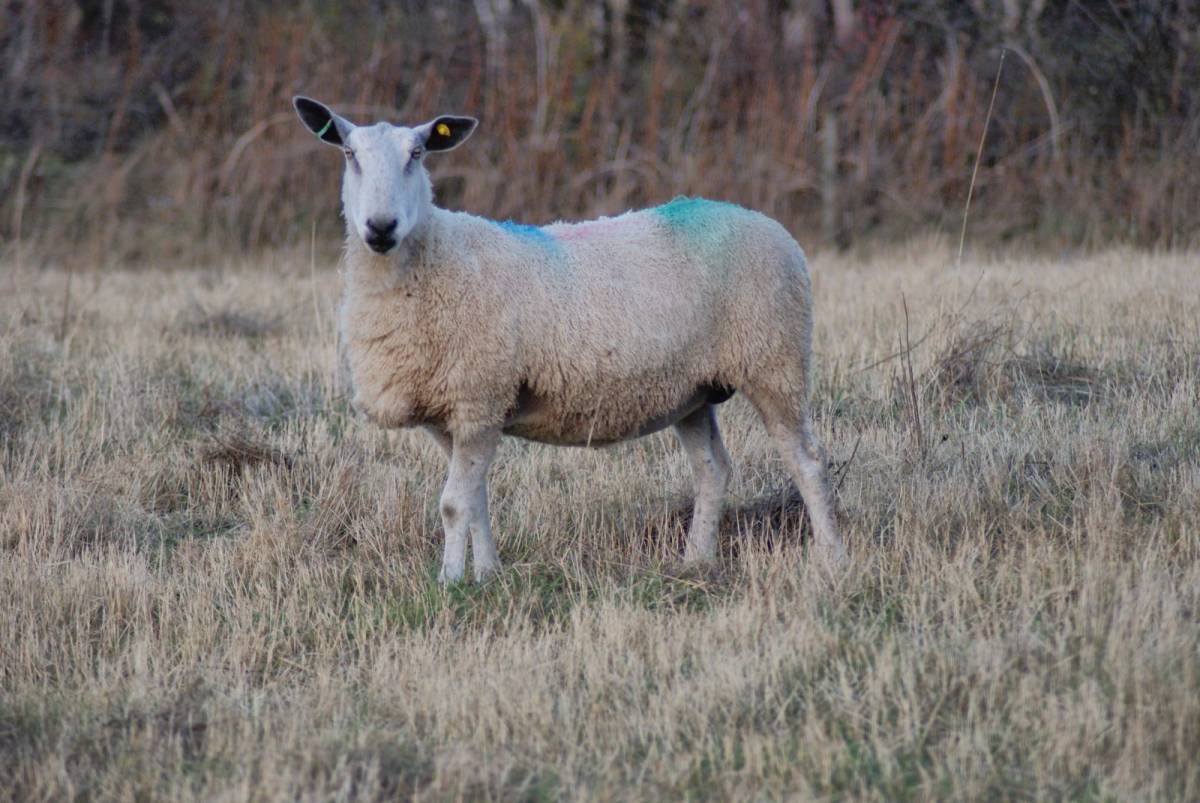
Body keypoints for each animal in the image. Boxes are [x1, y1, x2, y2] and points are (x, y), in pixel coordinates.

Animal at [295, 97, 849, 578]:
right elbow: (476, 500)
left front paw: (450, 582)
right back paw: (695, 560)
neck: (434, 257)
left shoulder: (480, 398)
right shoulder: (450, 413)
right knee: (713, 468)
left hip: (775, 360)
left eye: (417, 154)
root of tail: (766, 222)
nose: (380, 227)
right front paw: (488, 573)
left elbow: (454, 505)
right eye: (349, 154)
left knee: (807, 460)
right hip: (691, 389)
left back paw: (830, 556)